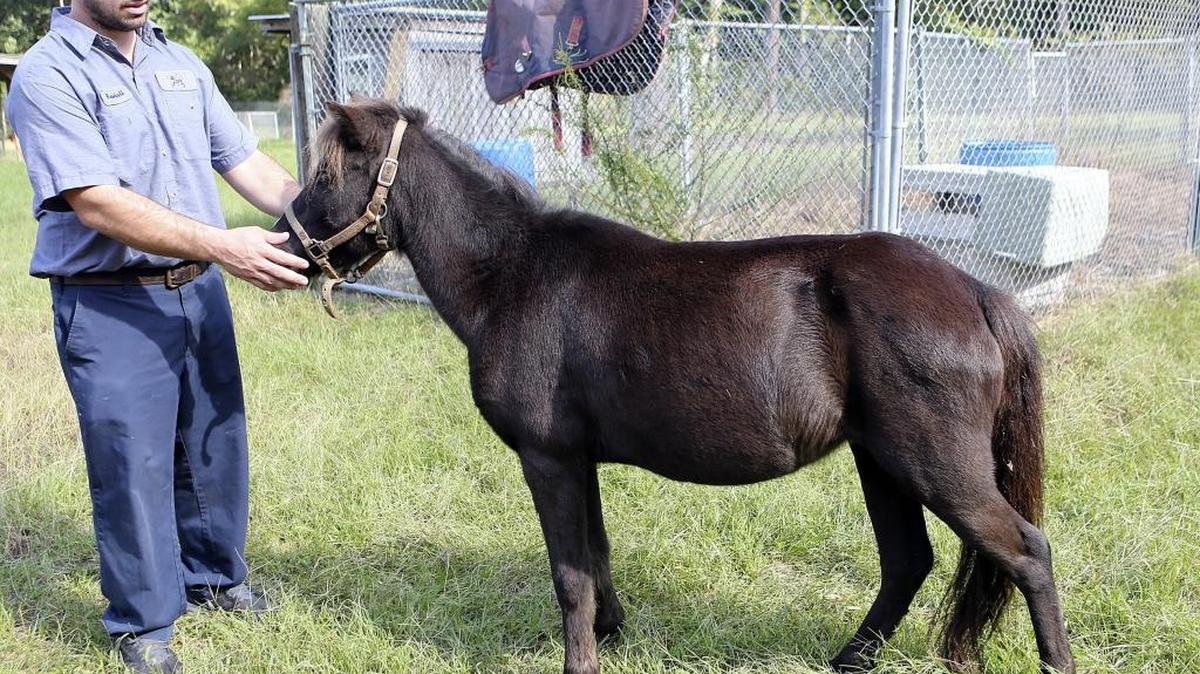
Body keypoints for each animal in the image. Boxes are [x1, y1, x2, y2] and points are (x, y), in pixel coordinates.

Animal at [273, 98, 1074, 674]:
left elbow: (568, 572)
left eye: (325, 177)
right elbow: (595, 557)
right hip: (882, 461)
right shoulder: (578, 459)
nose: (285, 243)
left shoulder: (547, 459)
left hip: (933, 464)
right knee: (908, 563)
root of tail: (975, 290)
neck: (513, 274)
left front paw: (581, 659)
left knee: (1026, 552)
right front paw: (611, 634)